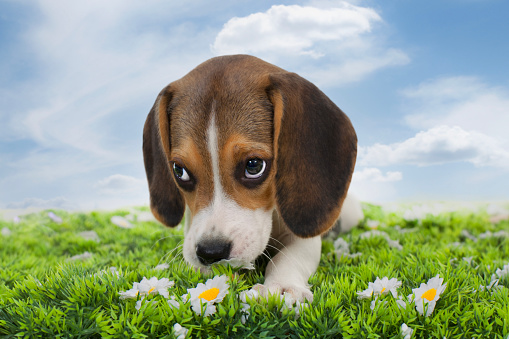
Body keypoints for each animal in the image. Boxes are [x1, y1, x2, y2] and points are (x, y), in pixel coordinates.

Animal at [143, 55, 358, 302]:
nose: (211, 252)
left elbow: (288, 257)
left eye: (254, 166)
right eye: (179, 170)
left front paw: (282, 286)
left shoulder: (304, 238)